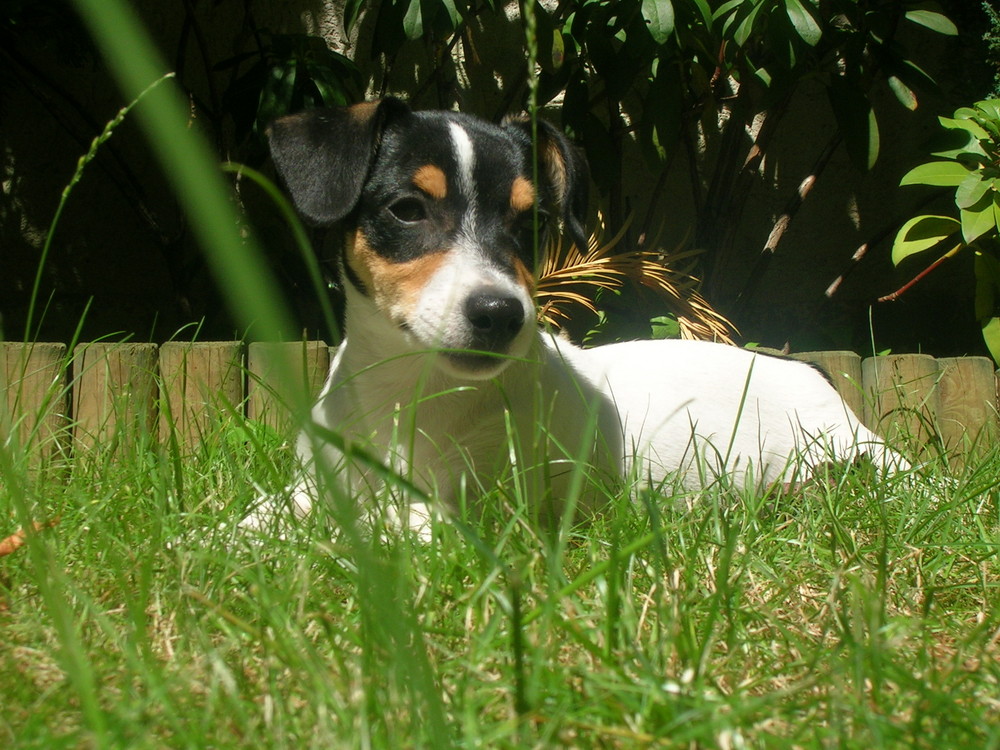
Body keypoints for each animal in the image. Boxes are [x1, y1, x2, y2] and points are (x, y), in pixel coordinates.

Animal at [242, 98, 908, 536]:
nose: (501, 314)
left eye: (532, 224)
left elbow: (383, 524)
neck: (410, 396)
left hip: (860, 453)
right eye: (407, 209)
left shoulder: (473, 507)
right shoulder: (314, 484)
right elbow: (257, 517)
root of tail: (812, 373)